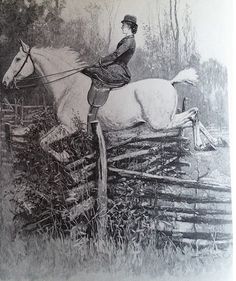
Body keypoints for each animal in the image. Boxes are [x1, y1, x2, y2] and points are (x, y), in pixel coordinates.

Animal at [1, 40, 224, 162]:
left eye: (18, 59)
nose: (4, 81)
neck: (68, 86)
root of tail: (170, 82)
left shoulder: (68, 127)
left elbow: (43, 142)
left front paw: (63, 156)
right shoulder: (70, 128)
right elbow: (42, 141)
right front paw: (65, 155)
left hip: (159, 123)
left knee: (193, 114)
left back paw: (203, 144)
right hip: (165, 121)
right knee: (193, 116)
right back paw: (213, 143)